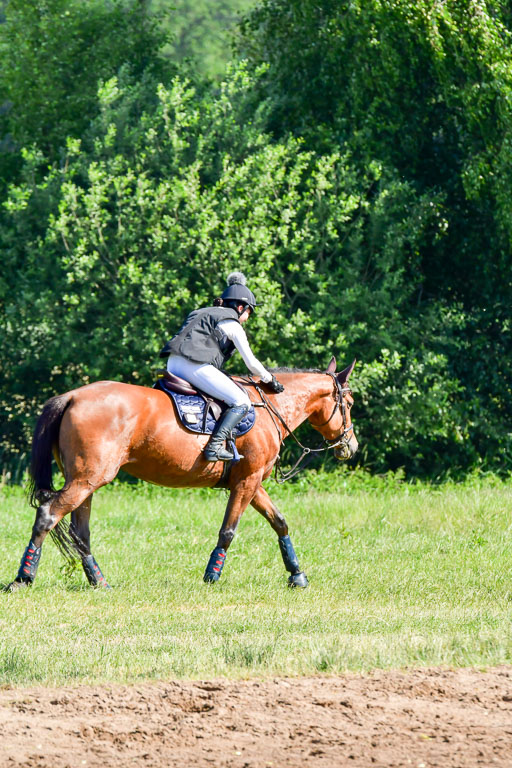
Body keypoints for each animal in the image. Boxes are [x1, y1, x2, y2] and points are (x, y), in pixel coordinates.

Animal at [5, 356, 358, 592]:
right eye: (350, 403)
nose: (350, 446)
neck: (268, 408)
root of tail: (72, 396)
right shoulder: (247, 481)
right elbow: (228, 531)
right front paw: (212, 576)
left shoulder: (250, 481)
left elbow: (279, 522)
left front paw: (297, 575)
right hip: (86, 480)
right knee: (48, 515)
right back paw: (23, 578)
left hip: (87, 482)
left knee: (80, 532)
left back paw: (99, 581)